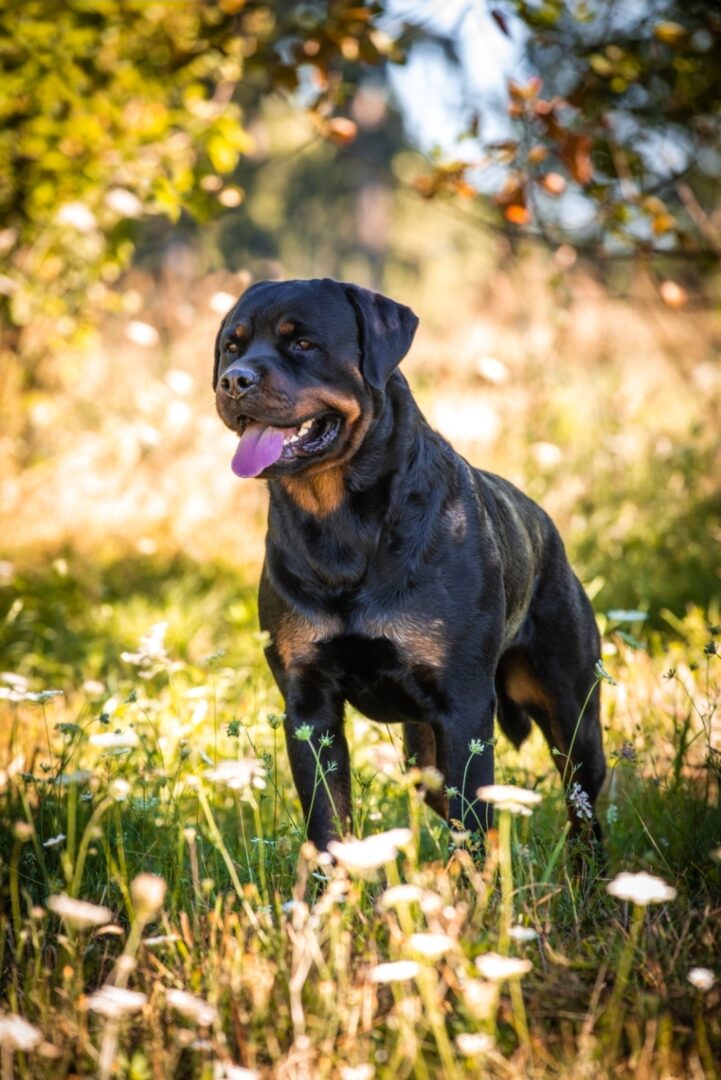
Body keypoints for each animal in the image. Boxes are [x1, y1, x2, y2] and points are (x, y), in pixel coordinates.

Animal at [212, 278, 604, 851]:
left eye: (302, 344)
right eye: (232, 347)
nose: (234, 381)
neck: (340, 524)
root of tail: (547, 528)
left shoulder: (465, 706)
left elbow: (473, 821)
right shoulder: (308, 706)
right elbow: (328, 821)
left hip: (573, 712)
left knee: (583, 806)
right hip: (425, 756)